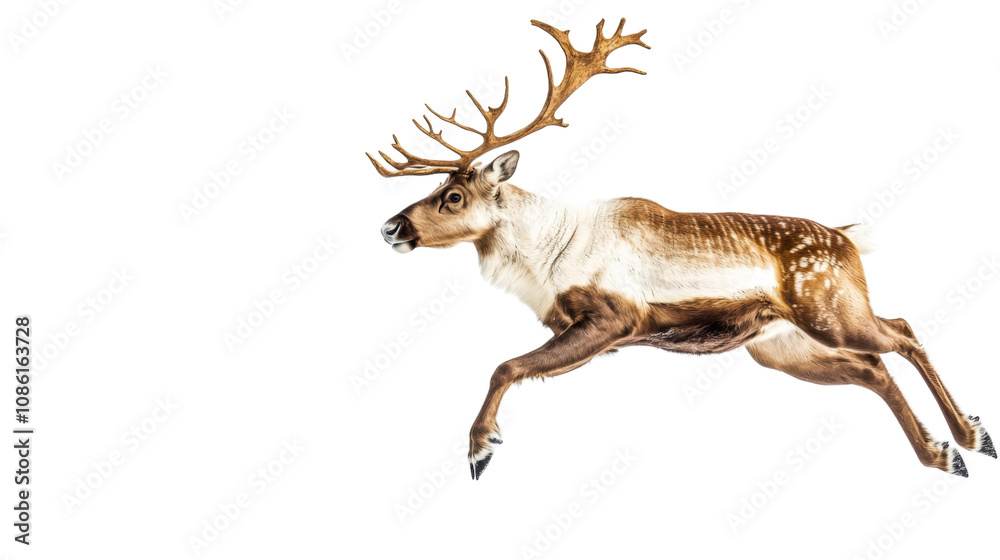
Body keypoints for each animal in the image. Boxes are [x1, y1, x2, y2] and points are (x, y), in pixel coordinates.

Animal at [368, 18, 995, 480]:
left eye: (452, 196)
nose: (391, 227)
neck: (544, 256)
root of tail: (849, 239)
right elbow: (516, 365)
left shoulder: (614, 317)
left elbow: (505, 365)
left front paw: (481, 449)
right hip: (782, 346)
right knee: (873, 368)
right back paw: (947, 454)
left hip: (829, 309)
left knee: (903, 331)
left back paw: (970, 436)